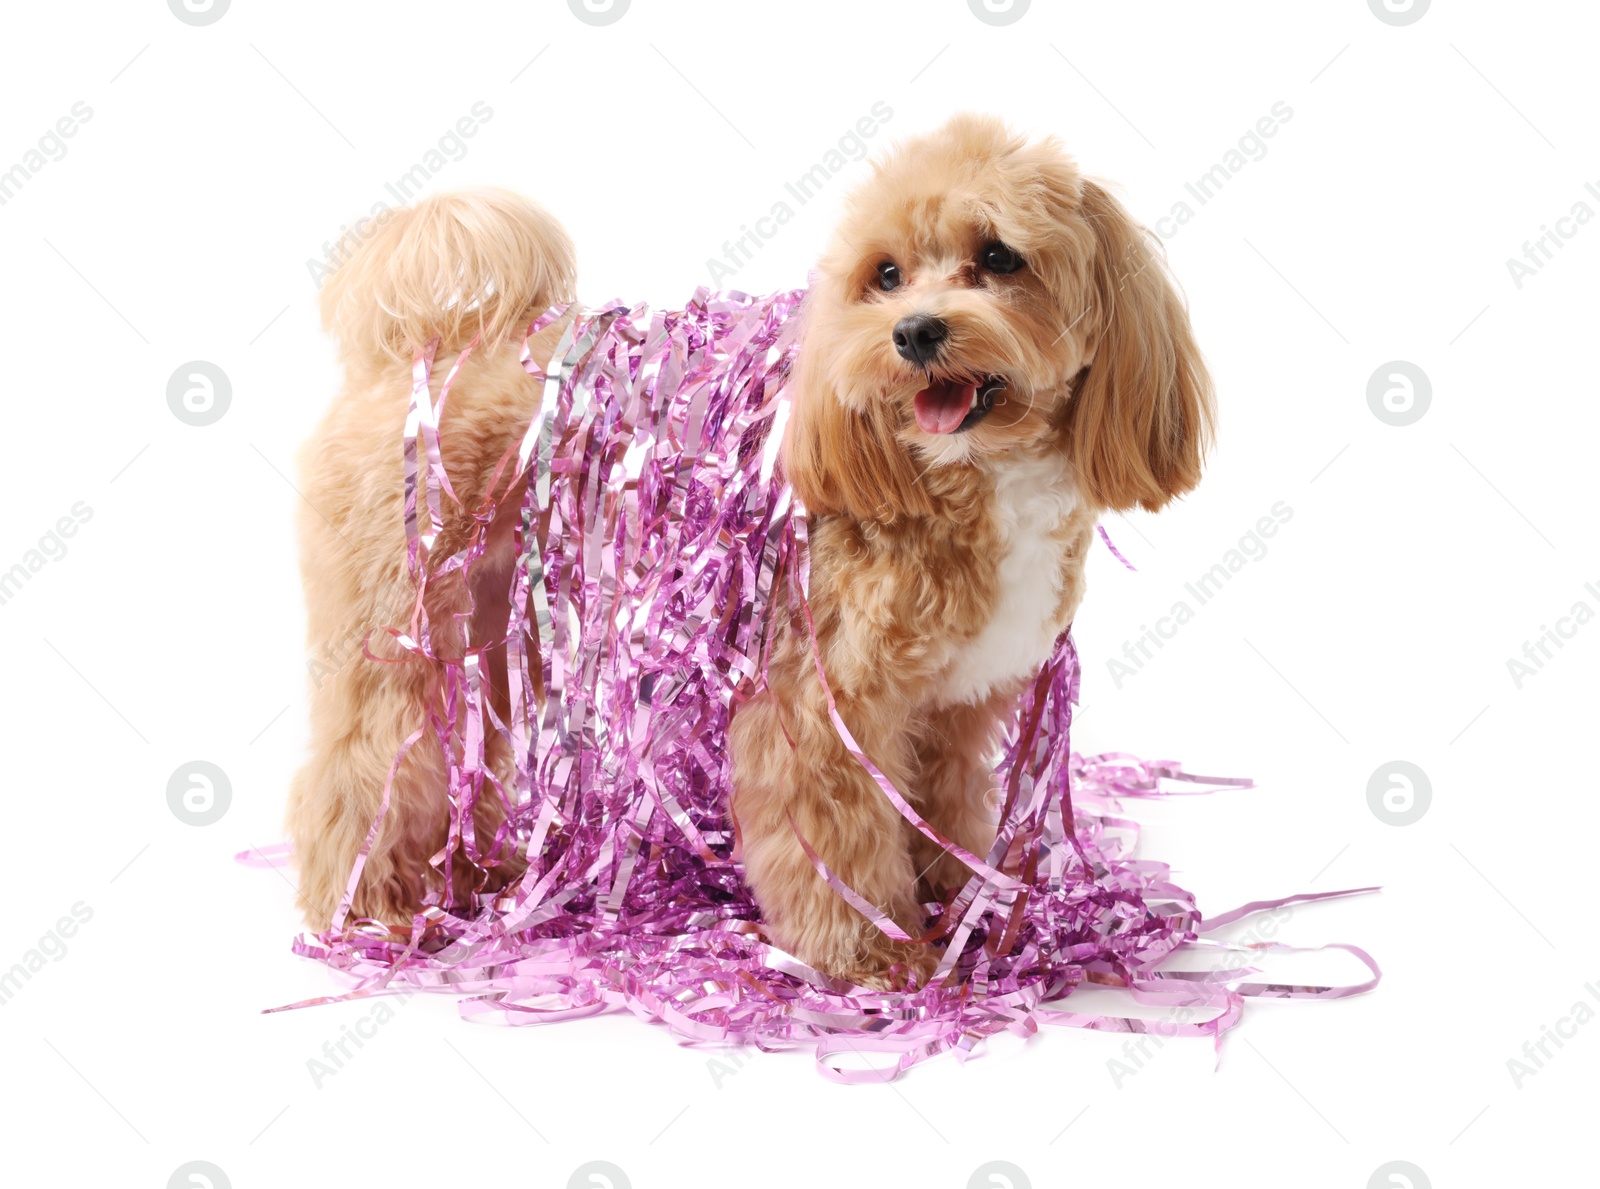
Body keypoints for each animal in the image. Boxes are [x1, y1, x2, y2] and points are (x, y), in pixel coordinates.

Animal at [291, 113, 1209, 985]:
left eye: (999, 256)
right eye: (886, 275)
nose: (915, 332)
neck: (961, 472)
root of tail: (427, 345)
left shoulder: (949, 707)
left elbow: (943, 811)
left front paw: (957, 909)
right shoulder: (819, 703)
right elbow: (835, 838)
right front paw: (868, 952)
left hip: (486, 633)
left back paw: (473, 874)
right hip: (402, 631)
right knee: (364, 764)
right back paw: (373, 901)